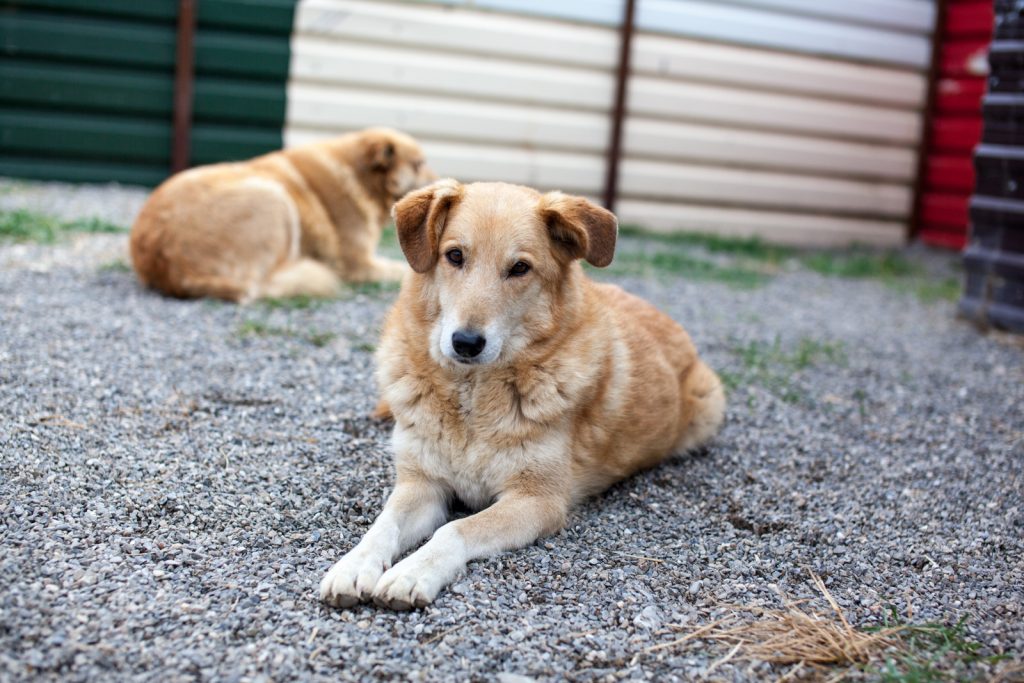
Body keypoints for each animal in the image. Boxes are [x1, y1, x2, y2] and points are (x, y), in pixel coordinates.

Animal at [130, 127, 434, 301]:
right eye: (418, 164)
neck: (361, 178)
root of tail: (171, 268)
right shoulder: (360, 264)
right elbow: (399, 269)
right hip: (275, 196)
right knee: (262, 284)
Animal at [319, 180, 729, 610]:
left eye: (519, 268)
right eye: (454, 255)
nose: (466, 343)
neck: (472, 396)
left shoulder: (537, 500)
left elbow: (454, 530)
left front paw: (412, 572)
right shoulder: (422, 483)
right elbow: (383, 525)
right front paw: (353, 566)